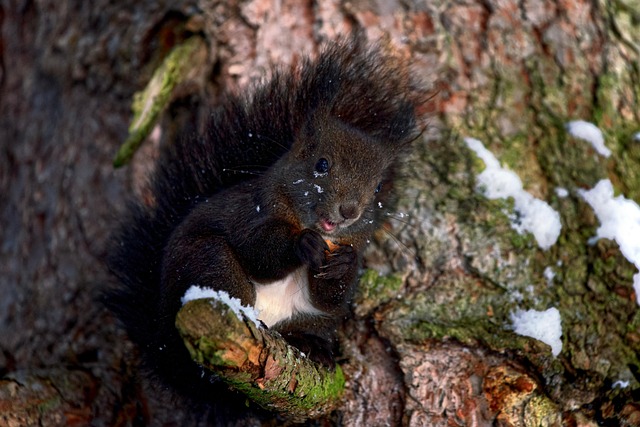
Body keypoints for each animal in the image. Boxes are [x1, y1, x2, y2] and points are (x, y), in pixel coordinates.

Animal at [105, 36, 424, 419]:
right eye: (321, 164)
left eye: (377, 188)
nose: (349, 211)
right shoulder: (250, 215)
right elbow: (259, 252)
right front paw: (302, 244)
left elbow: (333, 292)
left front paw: (343, 264)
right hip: (210, 263)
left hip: (313, 318)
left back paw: (311, 346)